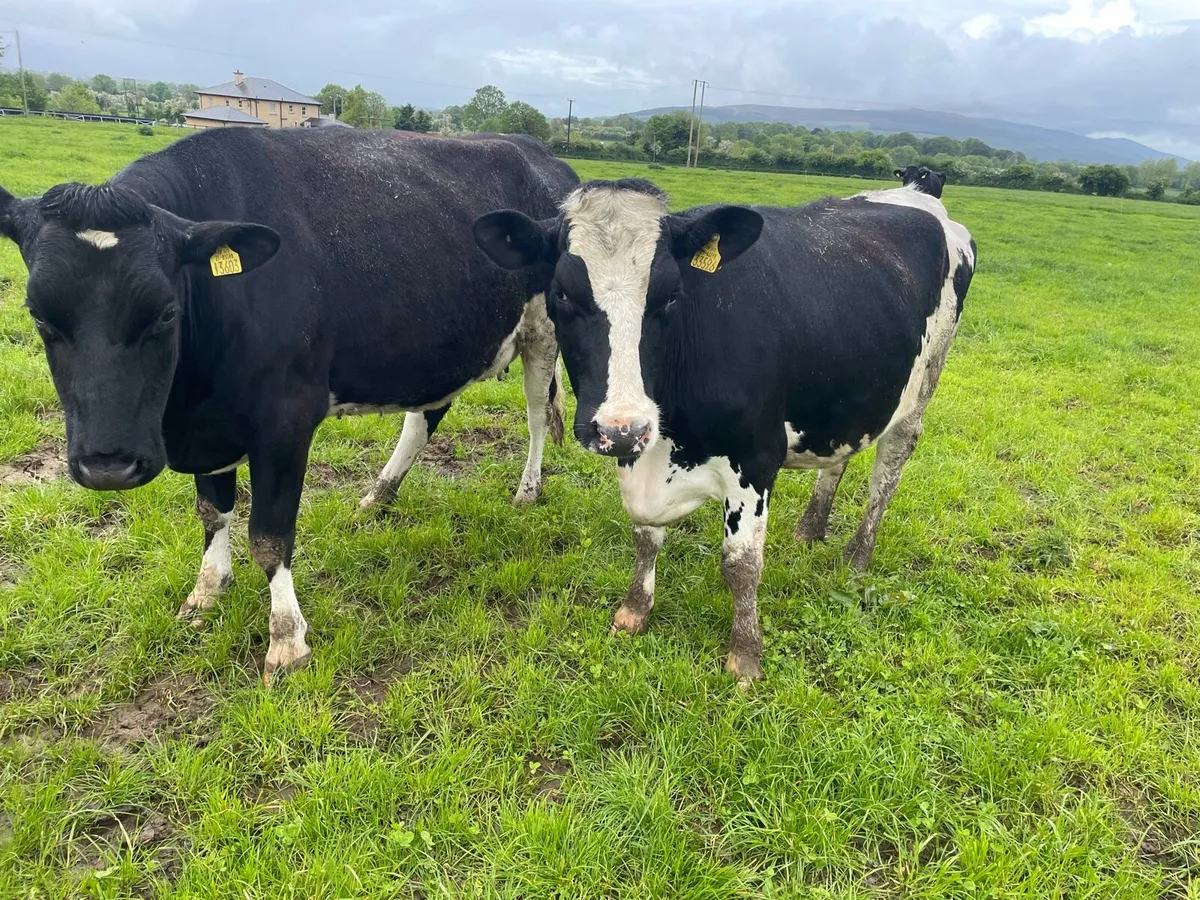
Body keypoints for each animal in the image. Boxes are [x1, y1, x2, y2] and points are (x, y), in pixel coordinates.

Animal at [0, 127, 579, 683]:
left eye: (165, 313)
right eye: (39, 315)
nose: (108, 466)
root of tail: (543, 156)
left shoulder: (285, 422)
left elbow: (270, 538)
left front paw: (286, 640)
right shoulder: (210, 425)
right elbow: (213, 511)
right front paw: (206, 591)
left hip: (544, 331)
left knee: (537, 414)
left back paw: (527, 491)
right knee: (426, 416)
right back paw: (378, 495)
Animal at [473, 179, 976, 684]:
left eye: (671, 295)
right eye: (560, 295)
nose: (620, 428)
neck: (672, 439)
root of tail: (917, 192)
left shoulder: (756, 457)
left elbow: (741, 563)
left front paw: (745, 656)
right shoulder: (639, 450)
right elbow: (644, 534)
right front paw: (634, 610)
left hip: (920, 389)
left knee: (886, 477)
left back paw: (857, 559)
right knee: (838, 459)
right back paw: (810, 529)